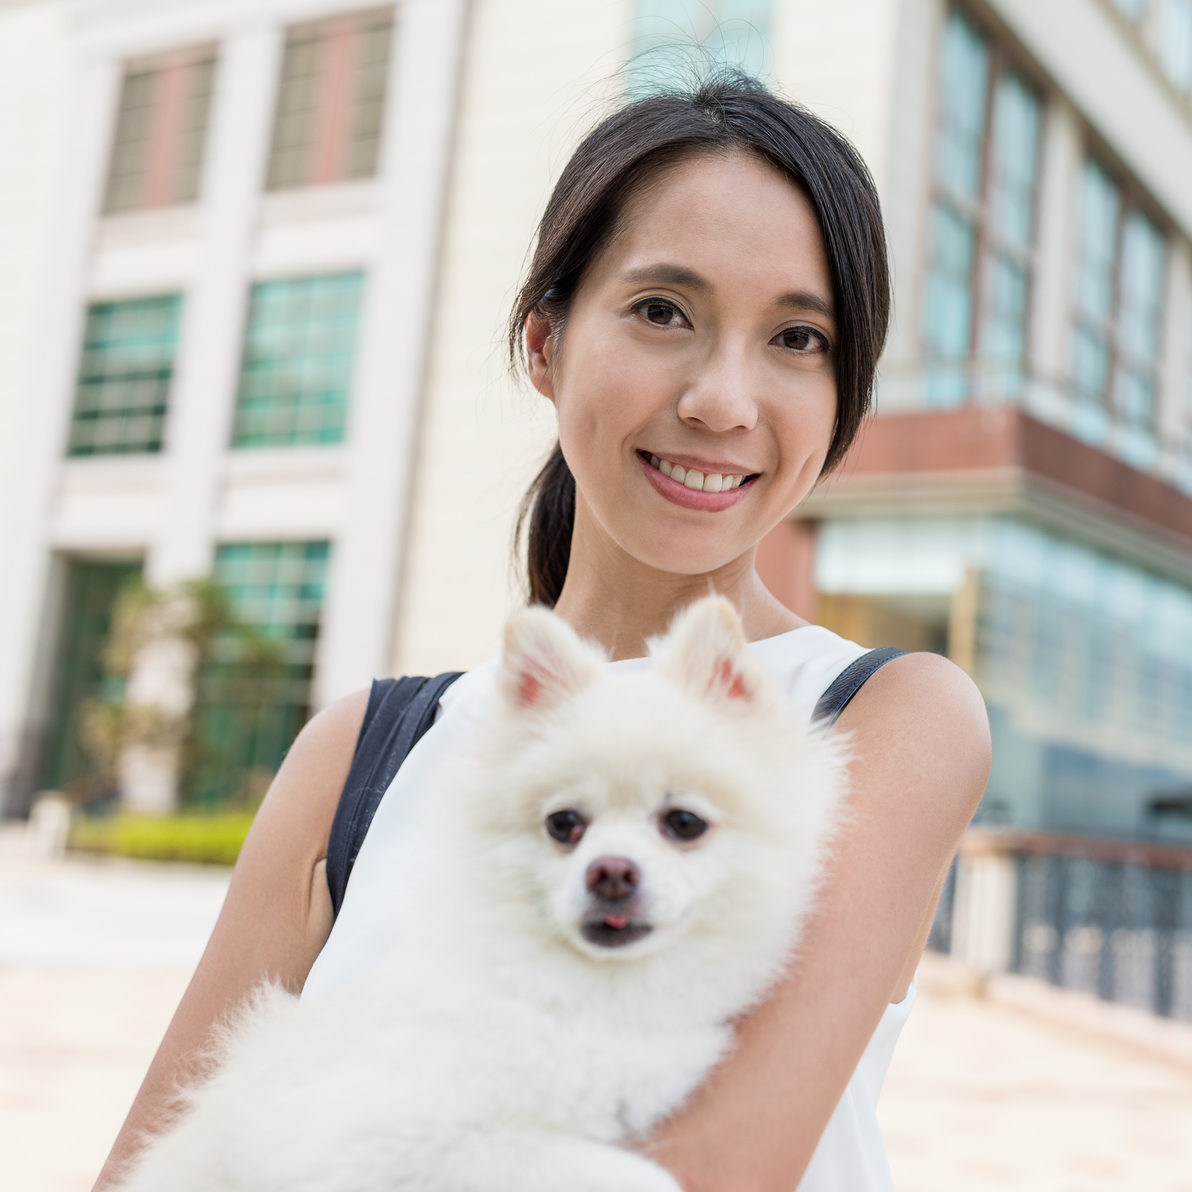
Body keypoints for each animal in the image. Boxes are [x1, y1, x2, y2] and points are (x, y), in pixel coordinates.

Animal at [113, 596, 848, 1192]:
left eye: (684, 823)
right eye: (564, 825)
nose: (610, 871)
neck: (587, 1000)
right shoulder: (365, 1133)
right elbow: (618, 1173)